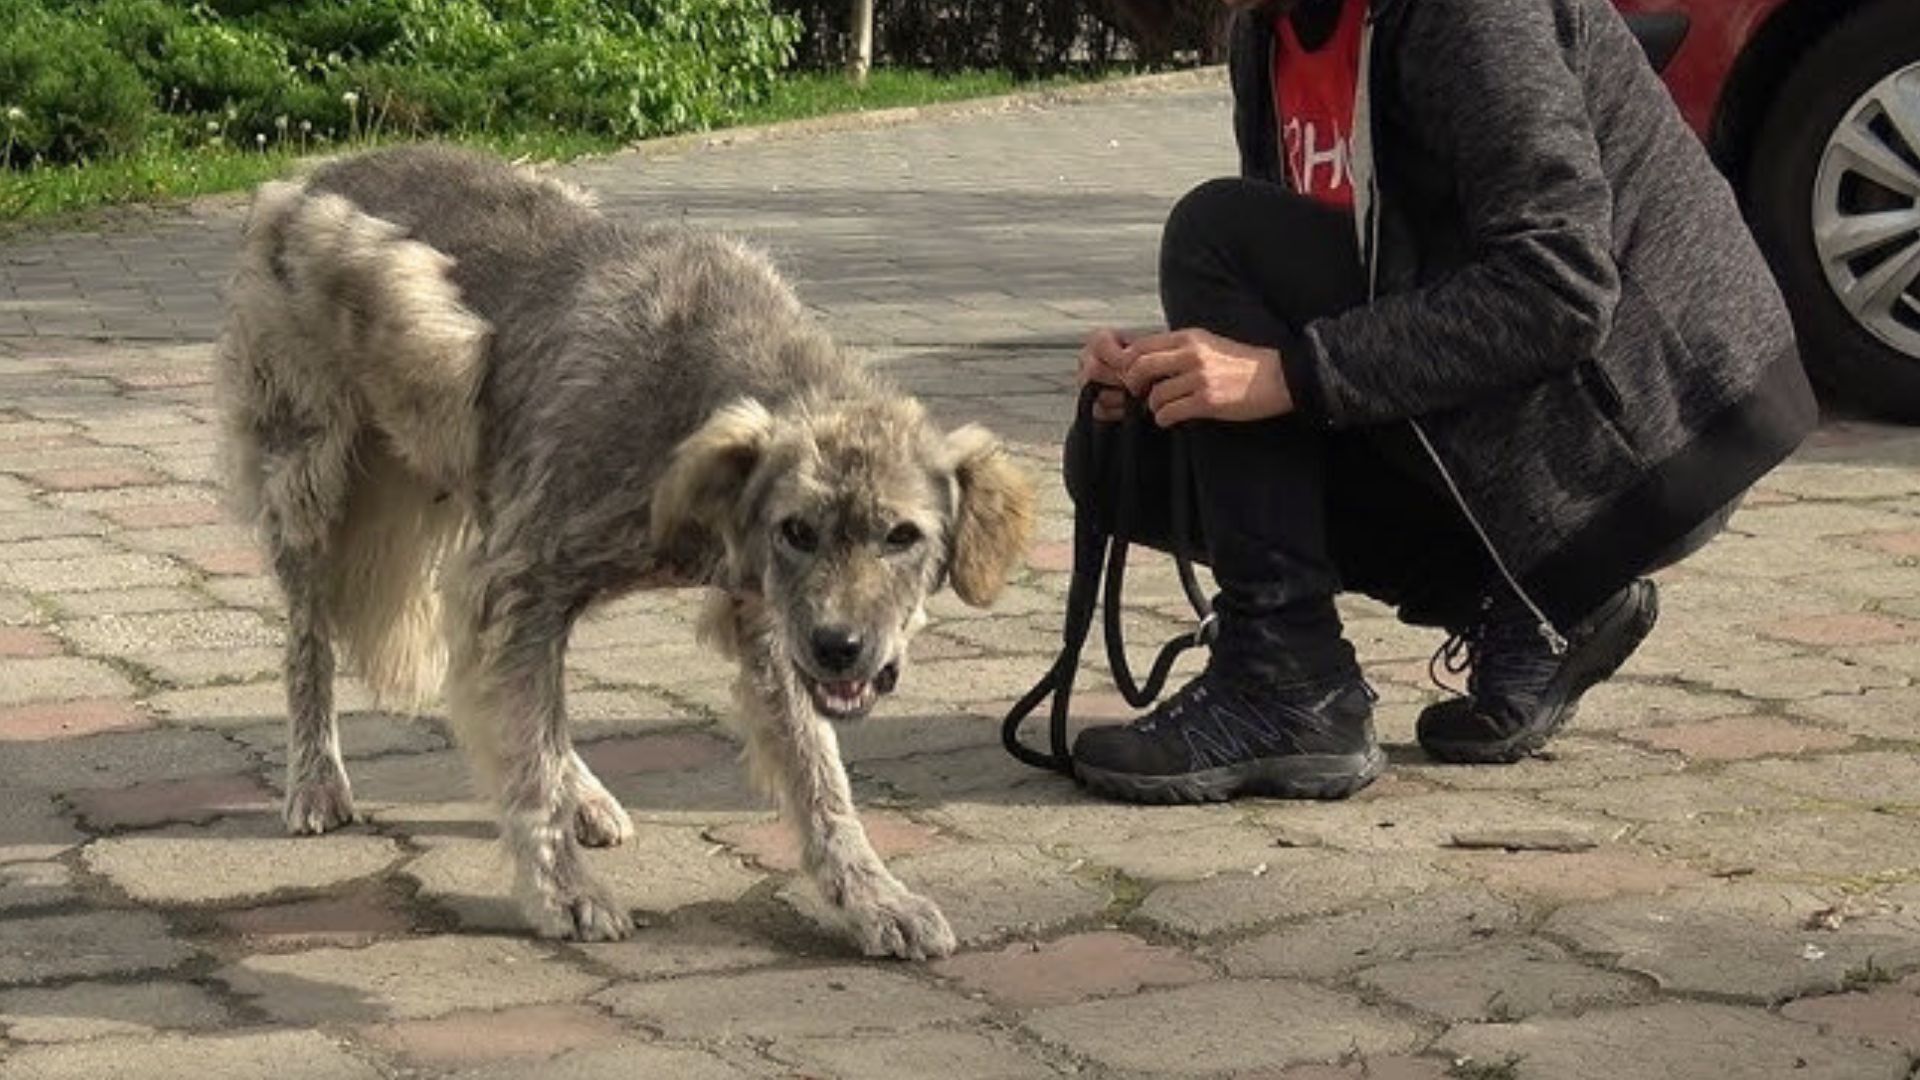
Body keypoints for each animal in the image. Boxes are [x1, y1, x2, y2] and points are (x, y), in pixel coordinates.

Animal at [214, 141, 1036, 949]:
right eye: (797, 531)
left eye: (902, 536)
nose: (841, 648)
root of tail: (313, 173)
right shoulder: (519, 578)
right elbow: (529, 752)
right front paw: (565, 892)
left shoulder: (765, 622)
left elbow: (817, 777)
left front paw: (872, 897)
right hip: (312, 486)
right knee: (312, 647)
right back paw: (316, 780)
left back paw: (582, 791)